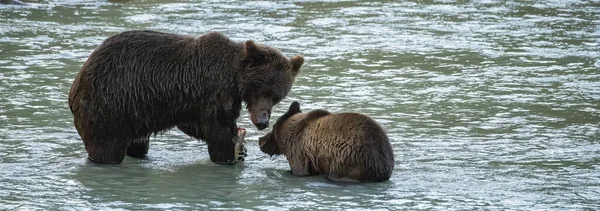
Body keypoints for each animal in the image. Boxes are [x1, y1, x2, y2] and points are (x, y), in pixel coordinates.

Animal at [69, 30, 302, 165]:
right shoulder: (213, 91)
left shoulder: (193, 101)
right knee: (106, 148)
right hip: (110, 107)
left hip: (135, 113)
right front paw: (230, 153)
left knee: (138, 144)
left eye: (277, 97)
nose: (262, 121)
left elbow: (194, 124)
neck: (233, 78)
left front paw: (241, 146)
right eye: (261, 91)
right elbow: (217, 130)